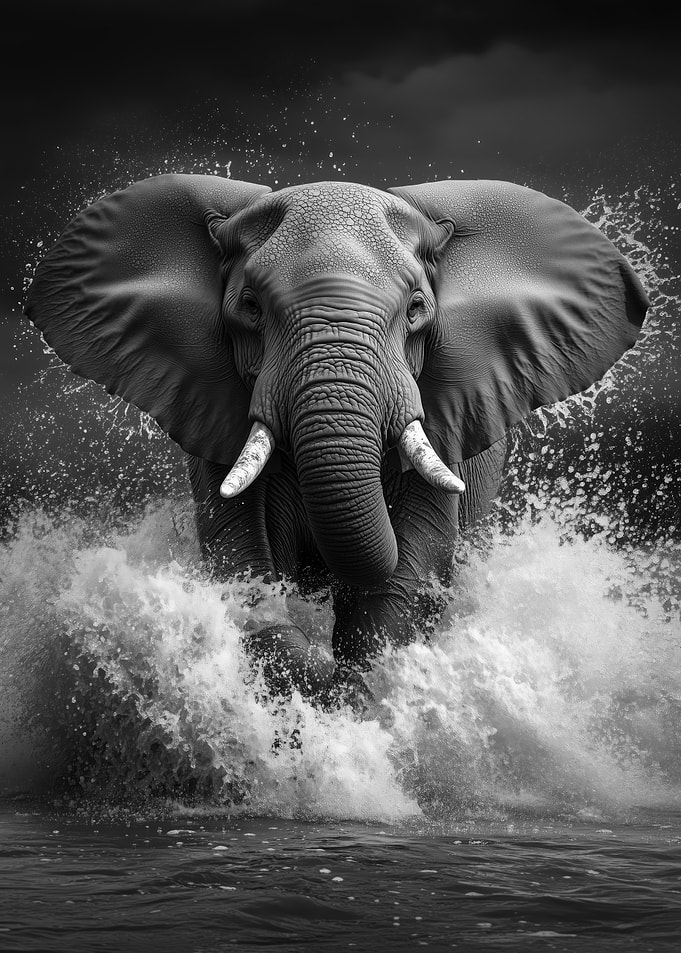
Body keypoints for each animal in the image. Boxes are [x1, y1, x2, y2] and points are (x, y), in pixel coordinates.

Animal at [25, 174, 648, 697]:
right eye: (250, 307)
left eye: (417, 309)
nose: (327, 666)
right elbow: (239, 557)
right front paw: (309, 666)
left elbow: (413, 563)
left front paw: (353, 680)